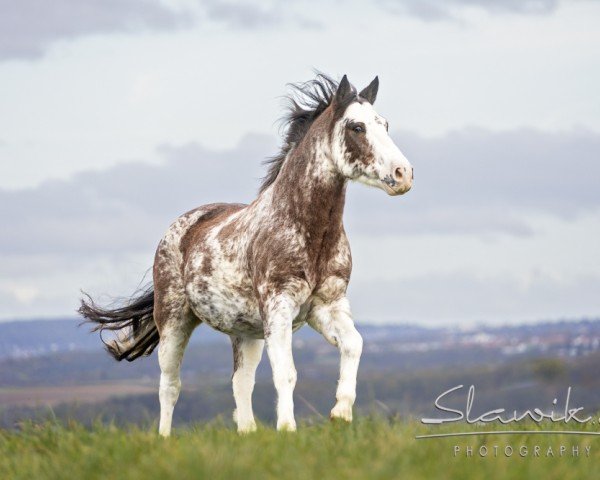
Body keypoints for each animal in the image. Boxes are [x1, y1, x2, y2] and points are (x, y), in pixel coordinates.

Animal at [79, 73, 412, 436]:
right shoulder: (279, 306)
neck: (307, 231)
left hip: (246, 333)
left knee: (241, 382)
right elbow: (287, 372)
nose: (403, 174)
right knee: (170, 385)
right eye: (357, 127)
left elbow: (354, 344)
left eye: (385, 124)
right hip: (174, 319)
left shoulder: (326, 306)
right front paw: (288, 429)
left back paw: (248, 433)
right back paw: (164, 438)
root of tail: (180, 225)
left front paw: (340, 414)